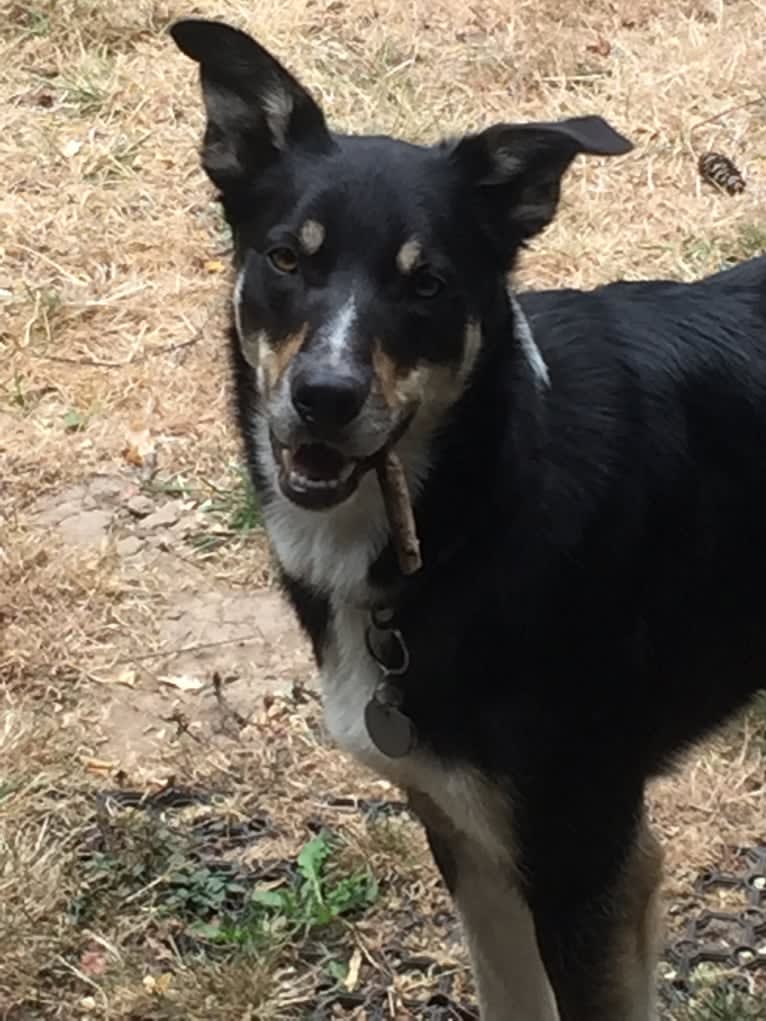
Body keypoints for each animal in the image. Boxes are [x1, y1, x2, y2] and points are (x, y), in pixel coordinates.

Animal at [170, 17, 766, 1021]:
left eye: (429, 285)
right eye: (286, 258)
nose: (323, 398)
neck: (476, 504)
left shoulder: (587, 853)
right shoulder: (466, 833)